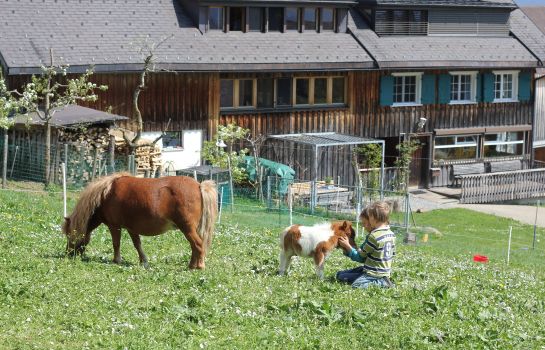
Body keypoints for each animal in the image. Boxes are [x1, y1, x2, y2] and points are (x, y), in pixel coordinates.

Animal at [63, 174, 217, 270]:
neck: (106, 194)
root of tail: (199, 186)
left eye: (69, 234)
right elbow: (137, 245)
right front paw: (144, 261)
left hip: (187, 228)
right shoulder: (132, 229)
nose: (68, 254)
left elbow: (116, 243)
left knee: (198, 245)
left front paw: (117, 260)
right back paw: (192, 265)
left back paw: (198, 266)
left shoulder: (114, 226)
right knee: (195, 246)